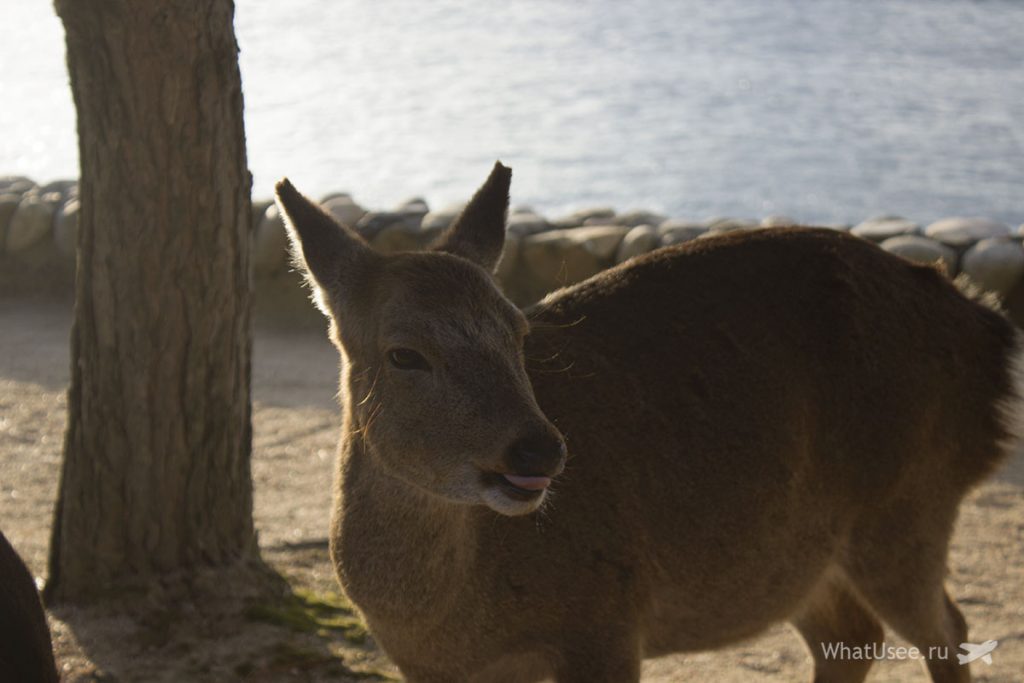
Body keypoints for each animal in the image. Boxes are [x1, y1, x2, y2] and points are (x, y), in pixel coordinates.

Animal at [274, 162, 1021, 683]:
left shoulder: (607, 618)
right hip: (803, 554)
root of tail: (983, 328)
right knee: (853, 634)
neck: (448, 625)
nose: (539, 450)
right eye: (404, 352)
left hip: (909, 502)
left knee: (947, 627)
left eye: (517, 329)